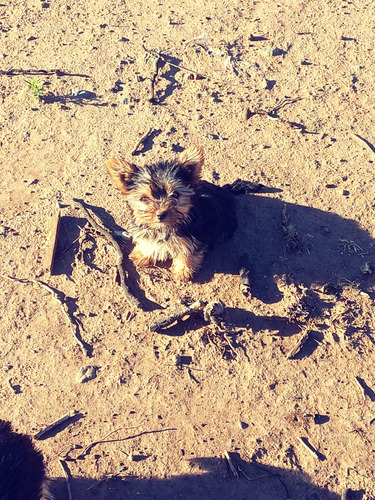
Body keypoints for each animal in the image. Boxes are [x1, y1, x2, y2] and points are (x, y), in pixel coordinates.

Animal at [106, 146, 258, 282]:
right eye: (144, 198)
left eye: (175, 195)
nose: (161, 214)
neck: (164, 228)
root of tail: (225, 190)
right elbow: (148, 242)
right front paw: (144, 254)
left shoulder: (193, 238)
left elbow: (186, 253)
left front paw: (183, 271)